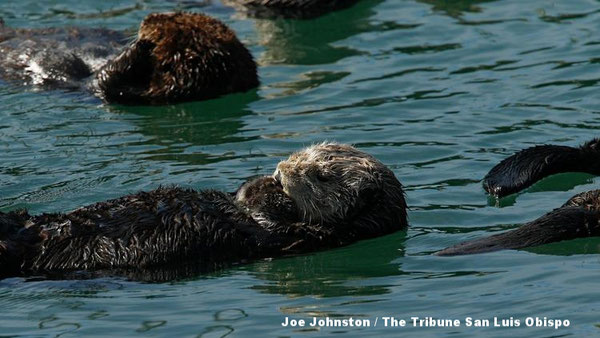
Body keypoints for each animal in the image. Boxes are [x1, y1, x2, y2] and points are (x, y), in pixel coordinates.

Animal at [0, 143, 408, 280]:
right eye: (303, 151)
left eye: (321, 175)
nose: (280, 170)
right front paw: (261, 182)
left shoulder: (309, 238)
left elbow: (269, 224)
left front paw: (269, 192)